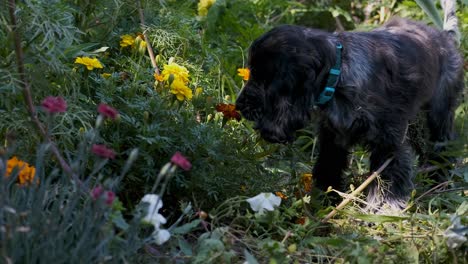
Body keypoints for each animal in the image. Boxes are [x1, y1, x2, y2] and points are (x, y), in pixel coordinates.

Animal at [236, 5, 462, 210]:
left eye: (261, 78)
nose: (239, 105)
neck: (338, 73)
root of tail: (445, 37)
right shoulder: (334, 137)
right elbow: (328, 168)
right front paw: (323, 202)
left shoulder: (389, 142)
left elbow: (387, 181)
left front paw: (382, 211)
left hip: (438, 115)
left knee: (442, 149)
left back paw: (439, 183)